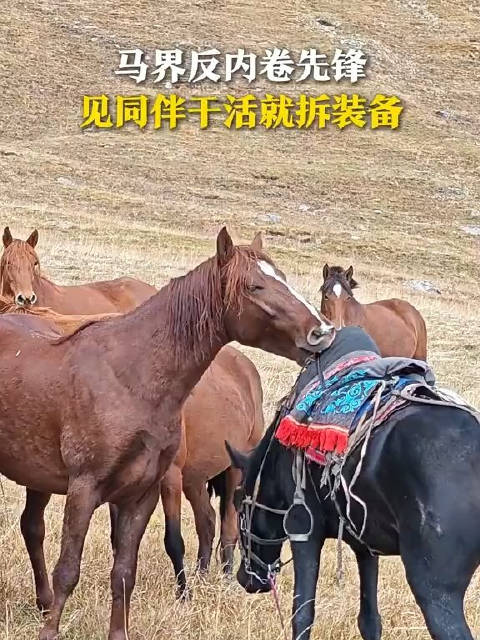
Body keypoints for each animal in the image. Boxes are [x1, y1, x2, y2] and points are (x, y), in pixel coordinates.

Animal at [229, 326, 480, 640]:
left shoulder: (304, 532)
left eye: (239, 505)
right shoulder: (365, 545)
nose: (245, 579)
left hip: (436, 592)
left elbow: (302, 615)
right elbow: (369, 620)